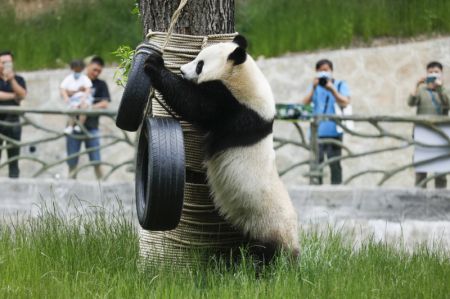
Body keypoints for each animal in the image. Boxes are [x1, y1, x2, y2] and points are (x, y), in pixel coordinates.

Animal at [144, 34, 298, 260]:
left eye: (200, 64)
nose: (182, 70)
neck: (243, 75)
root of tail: (294, 247)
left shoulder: (235, 108)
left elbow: (195, 105)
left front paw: (154, 65)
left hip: (267, 224)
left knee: (265, 253)